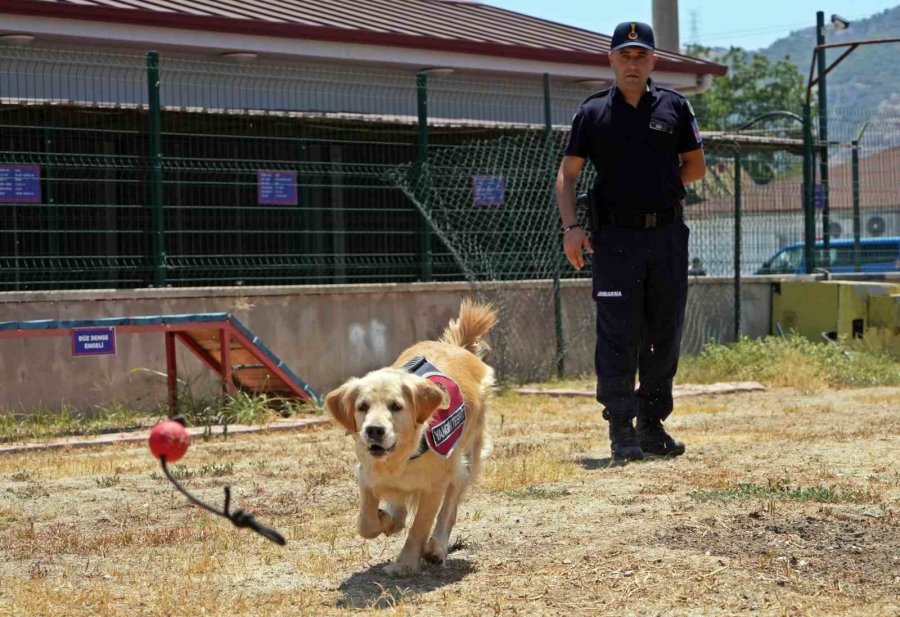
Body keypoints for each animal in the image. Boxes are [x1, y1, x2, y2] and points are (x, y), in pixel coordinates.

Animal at [324, 300, 496, 576]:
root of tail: (458, 347)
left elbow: (419, 527)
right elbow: (366, 523)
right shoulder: (366, 474)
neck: (403, 455)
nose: (374, 430)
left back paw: (437, 548)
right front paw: (386, 520)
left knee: (449, 510)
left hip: (465, 461)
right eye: (362, 406)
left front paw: (404, 564)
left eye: (396, 406)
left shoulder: (434, 485)